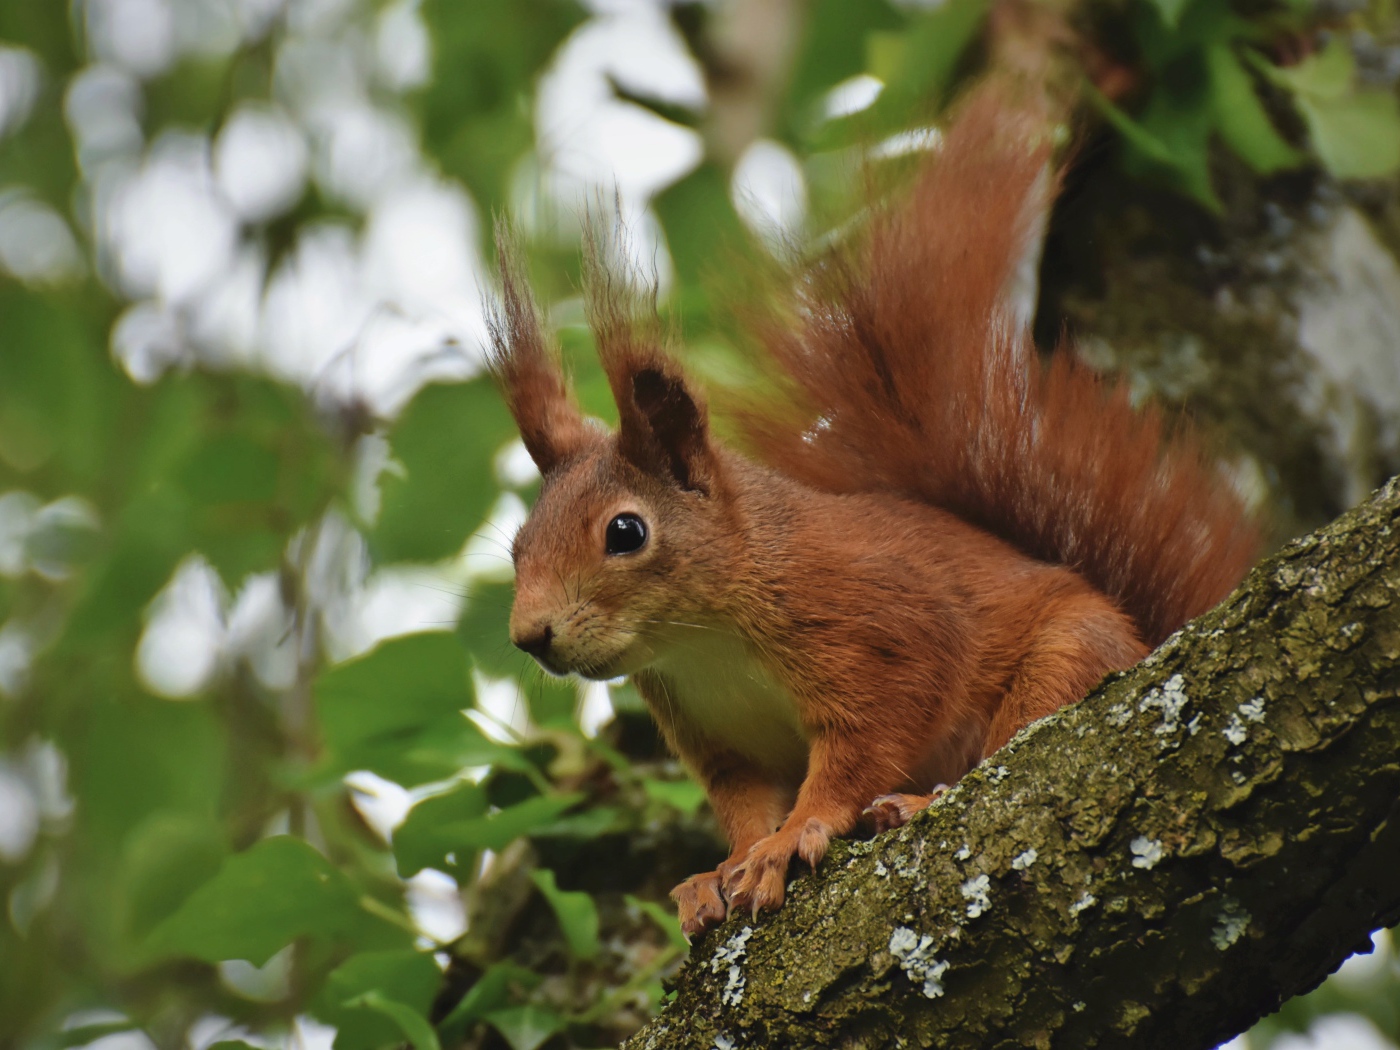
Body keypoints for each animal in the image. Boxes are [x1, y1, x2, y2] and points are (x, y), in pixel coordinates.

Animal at [484, 86, 1260, 935]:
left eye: (625, 532)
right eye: (518, 545)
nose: (529, 636)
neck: (703, 639)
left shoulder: (877, 629)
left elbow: (861, 749)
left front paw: (791, 839)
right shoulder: (716, 735)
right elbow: (742, 803)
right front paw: (721, 870)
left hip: (1070, 657)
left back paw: (918, 801)